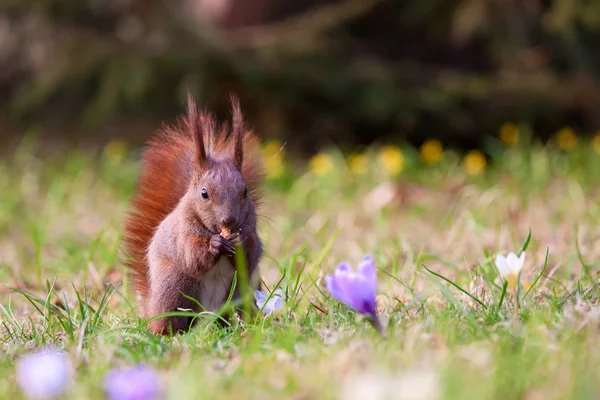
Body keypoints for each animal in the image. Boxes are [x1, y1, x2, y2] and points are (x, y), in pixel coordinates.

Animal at [120, 94, 264, 334]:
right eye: (204, 193)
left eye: (244, 192)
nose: (229, 220)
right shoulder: (183, 231)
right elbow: (191, 254)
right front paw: (214, 244)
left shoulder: (252, 228)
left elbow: (251, 254)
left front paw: (241, 240)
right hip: (175, 286)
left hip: (245, 290)